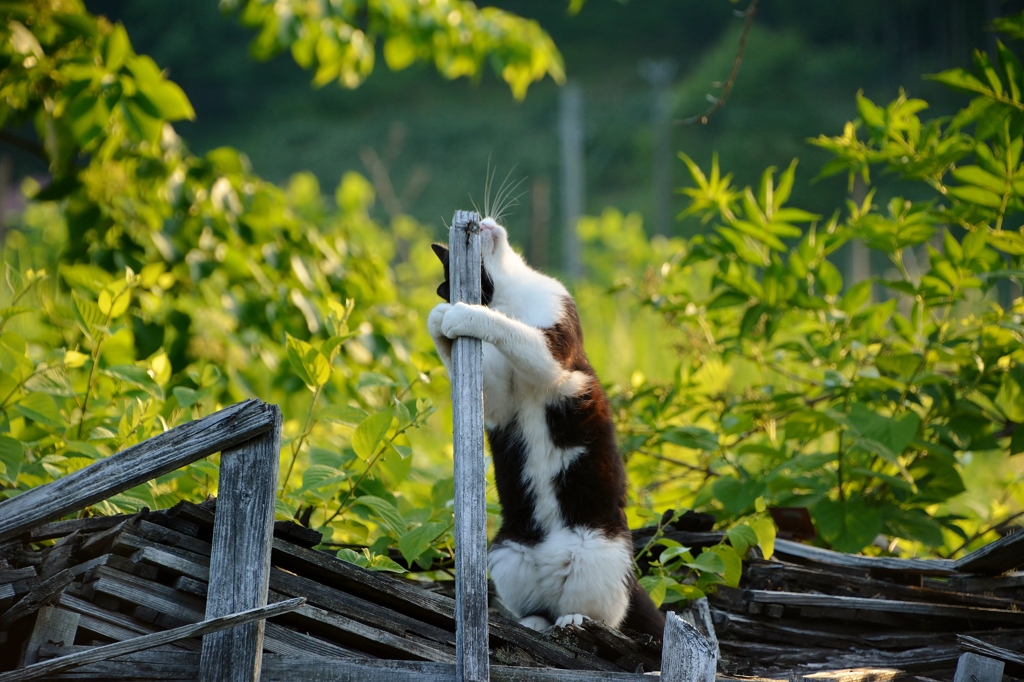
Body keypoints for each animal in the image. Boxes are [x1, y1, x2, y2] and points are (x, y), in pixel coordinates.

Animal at [430, 215, 663, 634]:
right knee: (538, 606)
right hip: (506, 550)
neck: (513, 295)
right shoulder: (500, 401)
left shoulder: (555, 350)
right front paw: (439, 320)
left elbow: (516, 332)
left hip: (600, 549)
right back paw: (535, 622)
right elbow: (490, 386)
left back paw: (576, 618)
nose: (482, 222)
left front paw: (461, 314)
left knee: (608, 612)